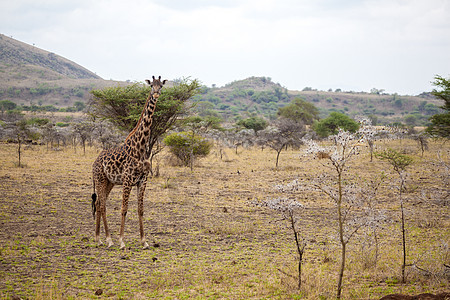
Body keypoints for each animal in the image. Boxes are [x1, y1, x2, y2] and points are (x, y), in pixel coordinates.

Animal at [91, 76, 167, 250]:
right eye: (151, 86)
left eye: (161, 86)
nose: (156, 93)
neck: (140, 147)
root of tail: (95, 162)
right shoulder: (127, 180)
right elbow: (124, 209)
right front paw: (121, 241)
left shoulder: (142, 180)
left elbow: (140, 210)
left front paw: (144, 241)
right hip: (99, 179)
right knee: (102, 205)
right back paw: (108, 240)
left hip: (109, 182)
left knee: (99, 203)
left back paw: (99, 239)